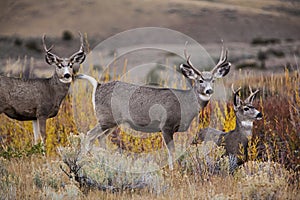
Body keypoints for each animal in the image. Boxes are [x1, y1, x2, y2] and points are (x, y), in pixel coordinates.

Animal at [76, 46, 231, 169]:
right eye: (200, 80)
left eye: (213, 80)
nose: (209, 91)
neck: (185, 104)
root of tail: (98, 85)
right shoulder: (166, 125)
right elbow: (172, 151)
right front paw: (172, 170)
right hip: (106, 118)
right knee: (89, 135)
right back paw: (84, 161)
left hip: (113, 122)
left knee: (99, 137)